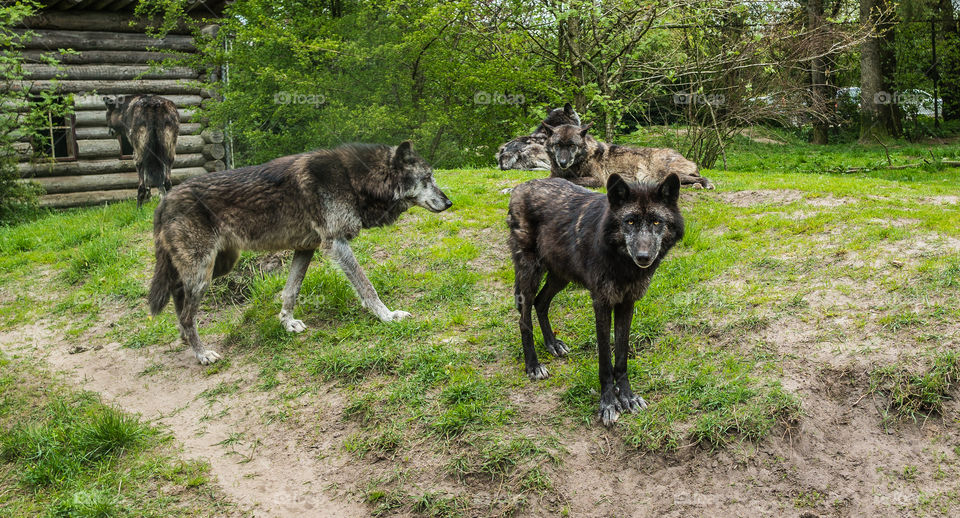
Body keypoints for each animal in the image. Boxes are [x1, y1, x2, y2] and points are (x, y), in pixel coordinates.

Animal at [148, 142, 452, 365]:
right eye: (427, 178)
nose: (449, 202)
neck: (353, 179)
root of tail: (163, 202)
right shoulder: (337, 244)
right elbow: (367, 287)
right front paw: (387, 316)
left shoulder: (306, 248)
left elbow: (290, 290)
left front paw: (287, 323)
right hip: (204, 272)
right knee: (187, 313)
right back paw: (201, 354)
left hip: (218, 266)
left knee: (178, 295)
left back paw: (185, 338)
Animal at [507, 173, 684, 426]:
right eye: (630, 222)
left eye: (657, 222)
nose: (643, 257)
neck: (622, 264)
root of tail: (520, 187)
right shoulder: (601, 303)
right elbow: (605, 361)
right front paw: (608, 403)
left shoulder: (627, 303)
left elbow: (621, 356)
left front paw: (627, 397)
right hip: (529, 275)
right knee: (524, 318)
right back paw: (533, 365)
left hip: (561, 277)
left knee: (542, 303)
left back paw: (552, 344)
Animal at [543, 123, 714, 190]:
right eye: (557, 145)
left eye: (572, 146)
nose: (562, 162)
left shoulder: (597, 180)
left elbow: (571, 180)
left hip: (665, 173)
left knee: (701, 178)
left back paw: (705, 184)